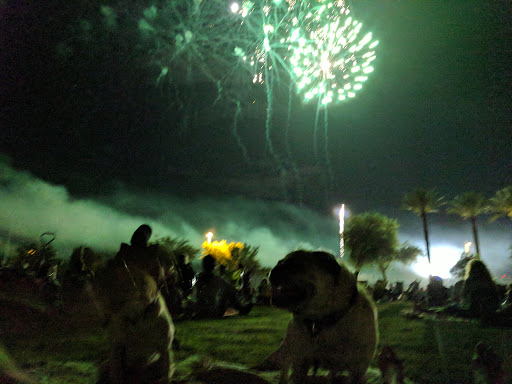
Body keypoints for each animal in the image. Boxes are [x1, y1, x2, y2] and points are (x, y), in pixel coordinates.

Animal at [255, 250, 378, 382]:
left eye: (294, 266)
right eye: (279, 262)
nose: (272, 270)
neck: (322, 321)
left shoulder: (357, 372)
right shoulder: (300, 364)